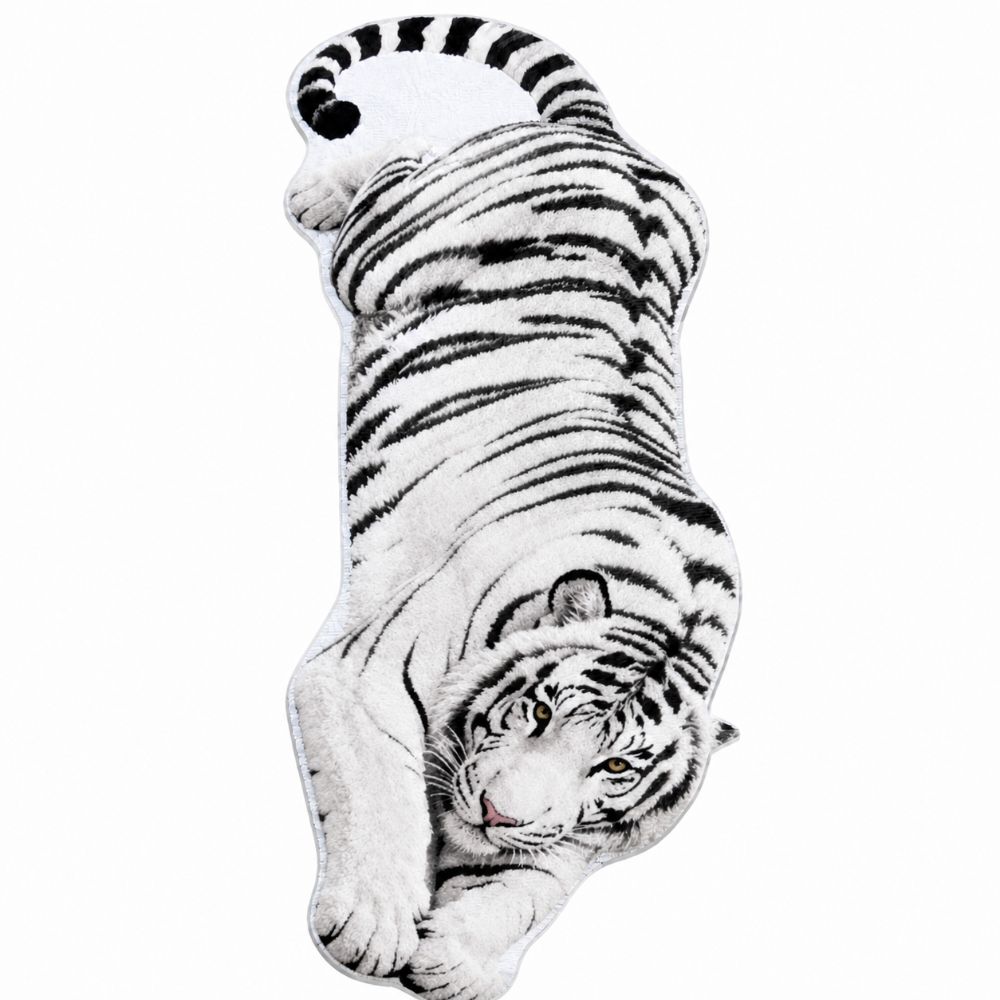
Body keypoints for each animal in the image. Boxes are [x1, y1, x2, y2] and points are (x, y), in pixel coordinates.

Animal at [286, 15, 741, 1000]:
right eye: (534, 715)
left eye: (614, 764)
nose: (497, 812)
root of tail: (608, 140)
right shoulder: (357, 677)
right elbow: (377, 792)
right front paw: (373, 924)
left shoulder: (582, 839)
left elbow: (537, 885)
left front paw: (460, 955)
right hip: (379, 249)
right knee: (393, 161)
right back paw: (319, 190)